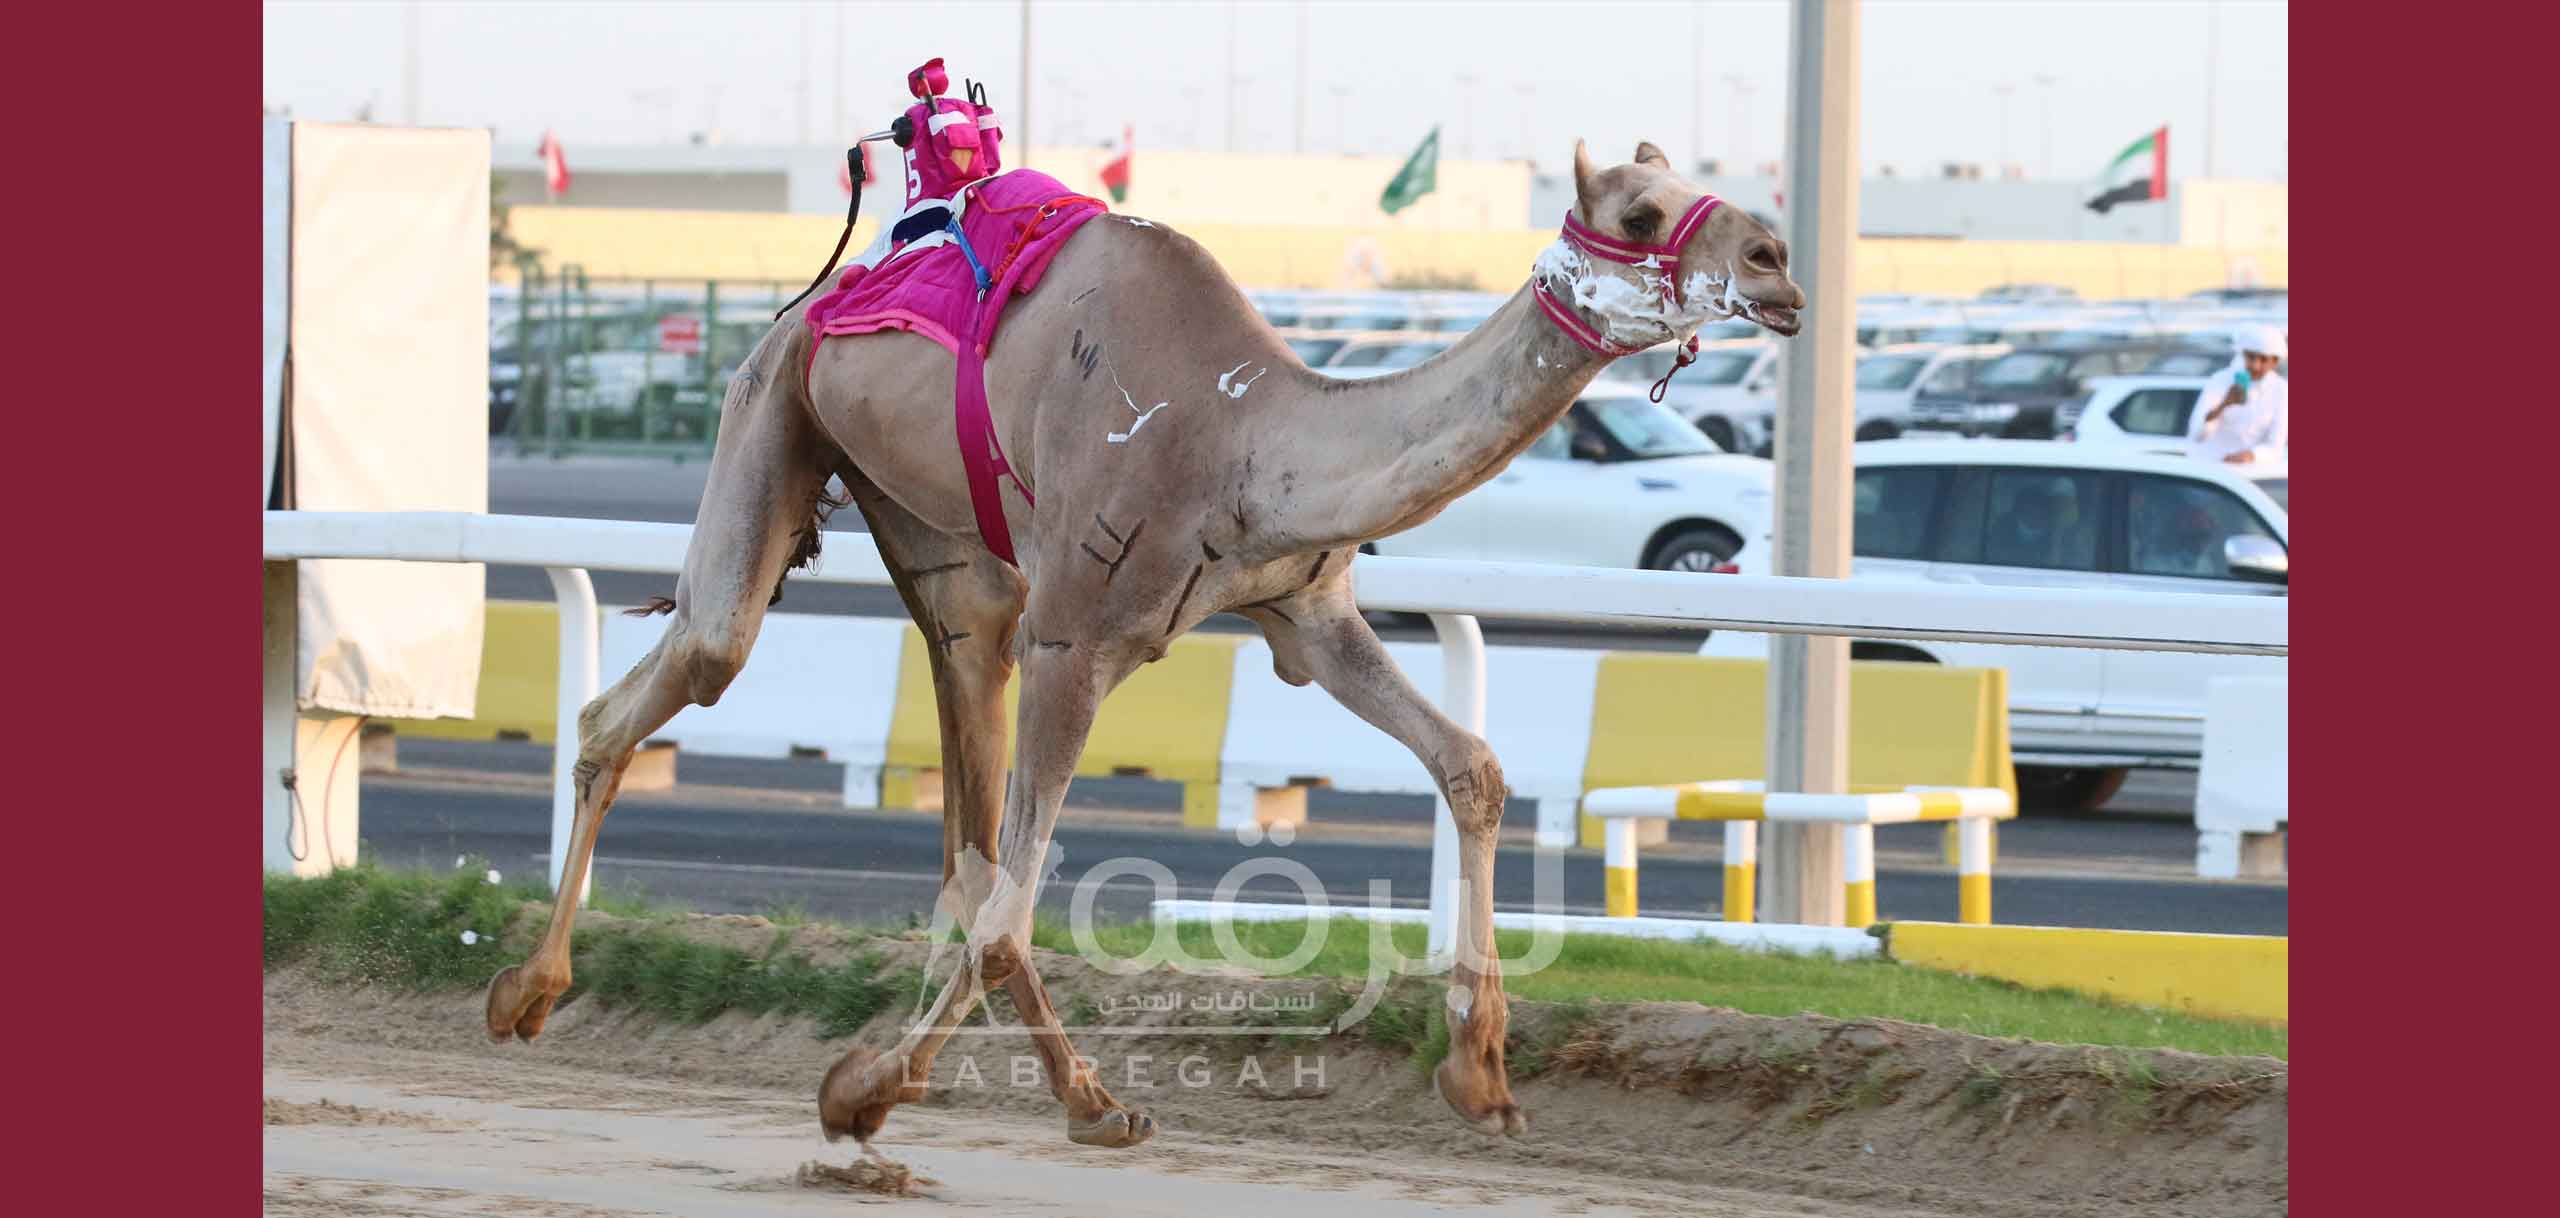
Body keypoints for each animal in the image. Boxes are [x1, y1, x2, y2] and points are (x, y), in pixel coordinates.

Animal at [481, 139, 1804, 1154]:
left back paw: (1047, 1093)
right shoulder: (1080, 636)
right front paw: (873, 1094)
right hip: (775, 406)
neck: (1243, 436)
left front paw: (1479, 1076)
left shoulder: (1307, 613)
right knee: (689, 664)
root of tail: (821, 296)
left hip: (946, 556)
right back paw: (524, 995)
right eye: (1640, 212)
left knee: (964, 782)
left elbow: (1468, 763)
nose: (1780, 262)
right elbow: (1012, 913)